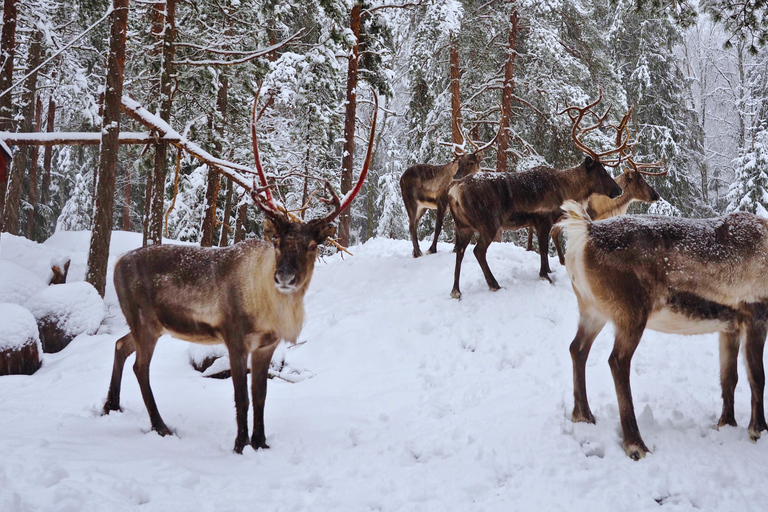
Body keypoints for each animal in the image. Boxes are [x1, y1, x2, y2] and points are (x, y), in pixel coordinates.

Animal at [102, 91, 378, 454]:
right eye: (277, 241)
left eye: (312, 245)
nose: (285, 278)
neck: (268, 307)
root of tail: (117, 263)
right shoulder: (233, 337)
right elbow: (241, 398)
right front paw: (239, 444)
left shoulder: (266, 346)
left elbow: (260, 397)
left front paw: (261, 443)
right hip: (145, 321)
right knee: (140, 366)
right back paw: (160, 426)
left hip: (149, 325)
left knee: (120, 345)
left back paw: (111, 406)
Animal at [400, 120, 503, 258]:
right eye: (458, 163)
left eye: (471, 162)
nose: (456, 177)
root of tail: (401, 177)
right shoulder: (441, 202)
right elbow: (438, 227)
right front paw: (432, 249)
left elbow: (457, 229)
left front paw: (455, 249)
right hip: (410, 201)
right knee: (411, 225)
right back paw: (418, 253)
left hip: (422, 206)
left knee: (414, 224)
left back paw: (415, 251)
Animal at [446, 91, 626, 299]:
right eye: (602, 171)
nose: (618, 190)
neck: (566, 189)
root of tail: (454, 191)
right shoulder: (543, 219)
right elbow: (543, 249)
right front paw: (545, 276)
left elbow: (543, 249)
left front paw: (548, 271)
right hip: (489, 223)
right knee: (478, 251)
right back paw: (494, 284)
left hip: (462, 226)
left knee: (460, 251)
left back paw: (456, 290)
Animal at [558, 199, 768, 460]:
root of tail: (586, 231)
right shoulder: (757, 316)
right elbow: (757, 377)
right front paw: (758, 429)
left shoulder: (729, 327)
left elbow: (729, 377)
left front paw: (726, 423)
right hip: (631, 314)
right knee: (617, 360)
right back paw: (635, 443)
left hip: (592, 310)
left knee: (577, 348)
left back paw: (583, 415)